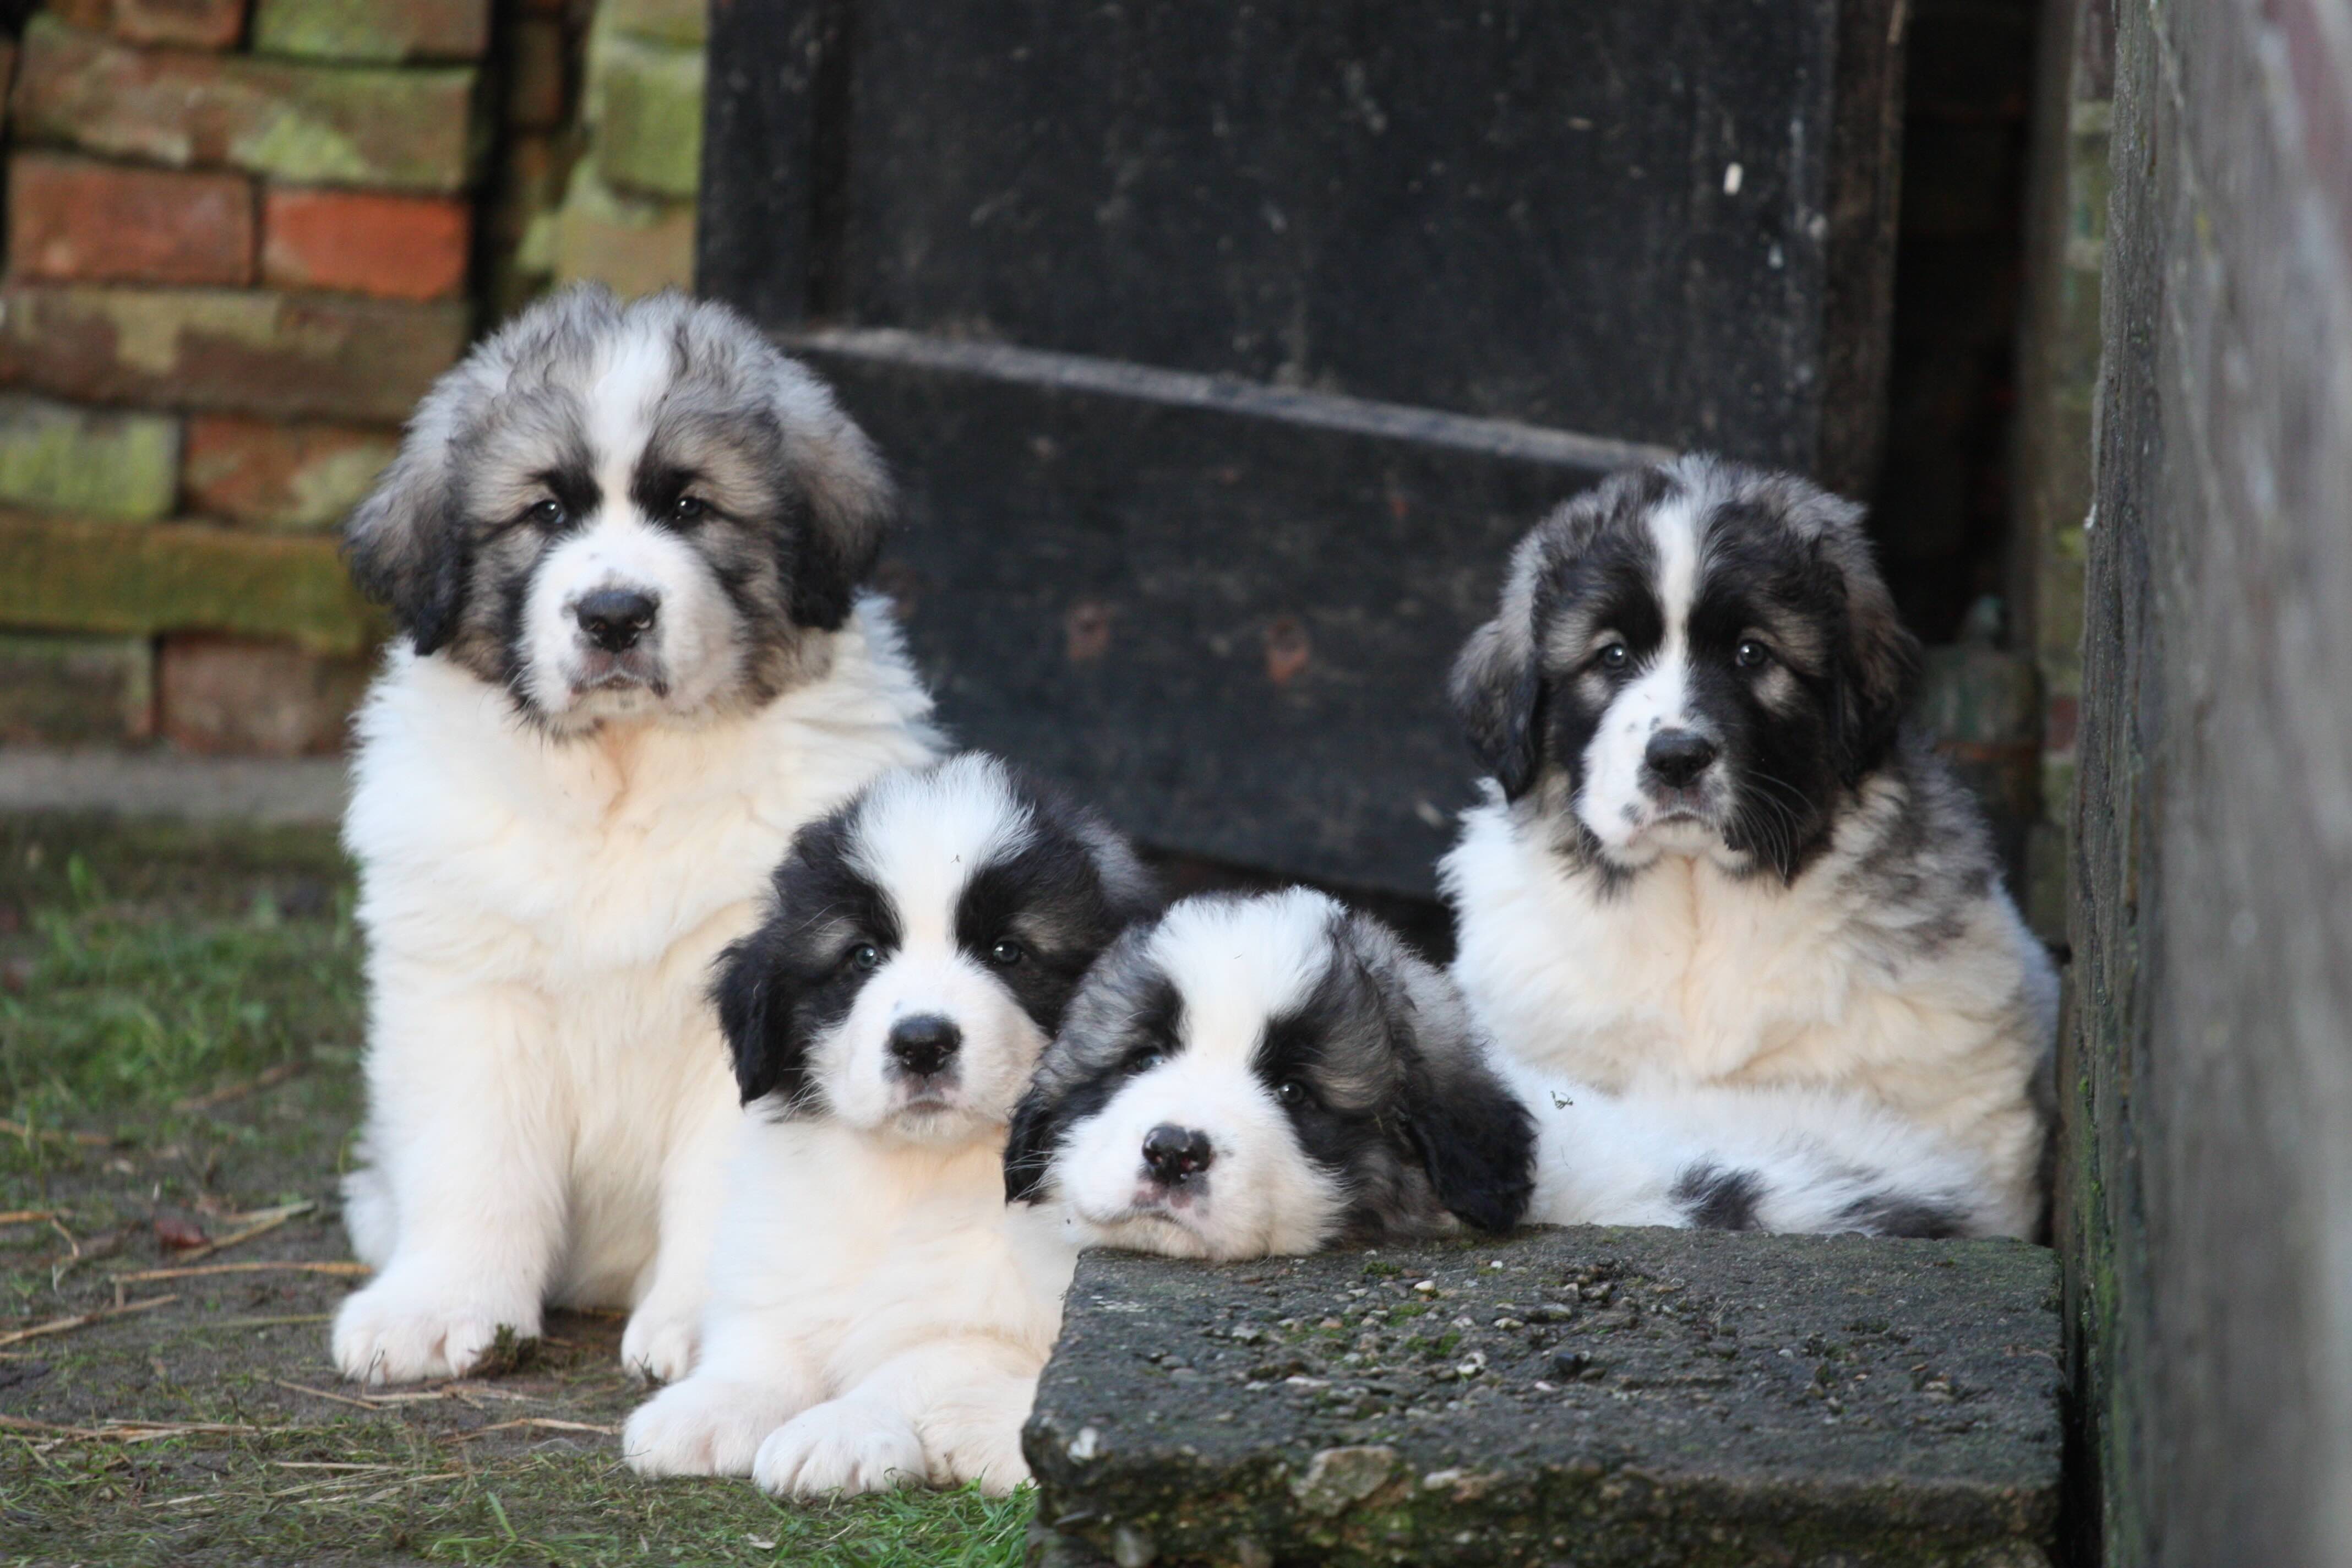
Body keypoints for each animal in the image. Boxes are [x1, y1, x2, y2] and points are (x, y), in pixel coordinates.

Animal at [324, 285, 945, 1382]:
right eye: (546, 512)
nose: (614, 614)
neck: (622, 775)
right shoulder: (468, 986)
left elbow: (727, 1187)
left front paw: (703, 1326)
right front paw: (439, 1306)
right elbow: (472, 1155)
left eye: (690, 507)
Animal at [625, 756, 1157, 1495]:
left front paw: (837, 1431)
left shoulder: (1010, 1321)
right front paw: (713, 1406)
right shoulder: (791, 1245)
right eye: (864, 957)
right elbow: (771, 1336)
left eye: (1008, 951)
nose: (923, 1043)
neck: (913, 1174)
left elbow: (923, 1361)